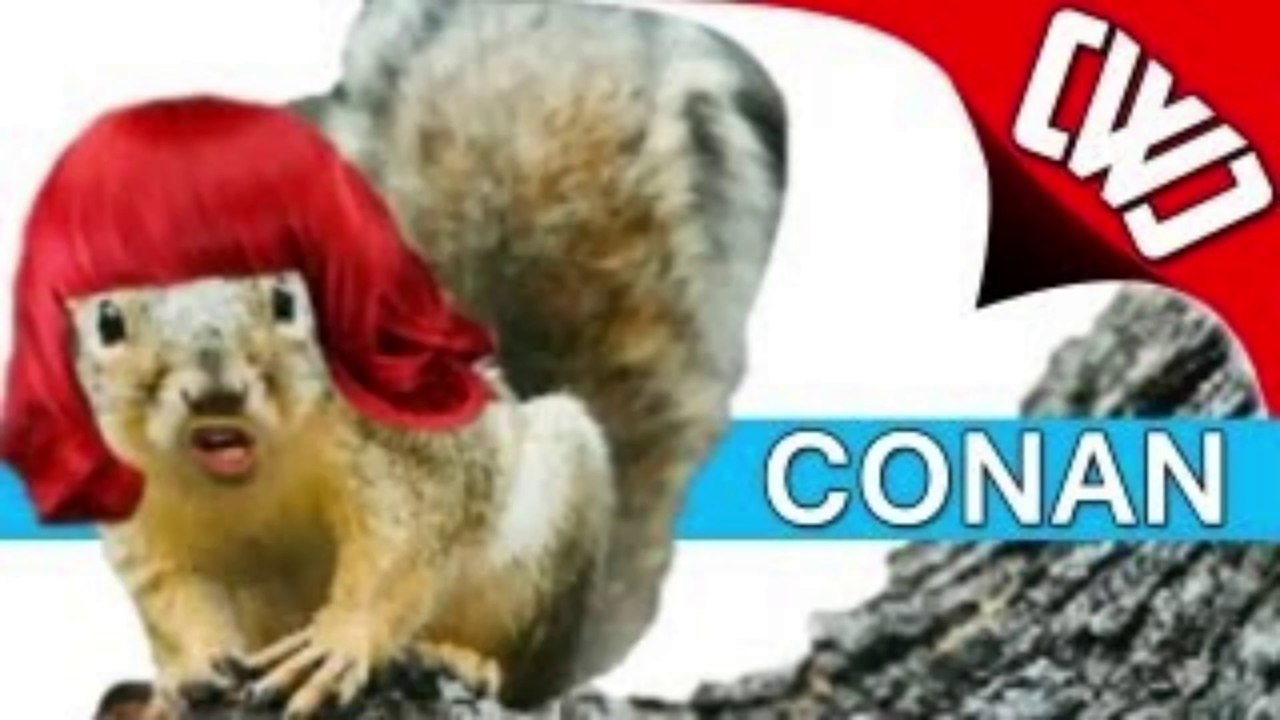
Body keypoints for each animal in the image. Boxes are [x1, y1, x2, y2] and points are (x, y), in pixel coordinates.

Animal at [51, 1, 785, 717]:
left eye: (286, 301)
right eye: (108, 321)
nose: (215, 392)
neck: (245, 474)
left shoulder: (404, 455)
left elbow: (399, 550)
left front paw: (338, 643)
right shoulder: (143, 517)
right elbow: (173, 597)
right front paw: (188, 672)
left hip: (546, 540)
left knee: (515, 672)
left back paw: (464, 659)